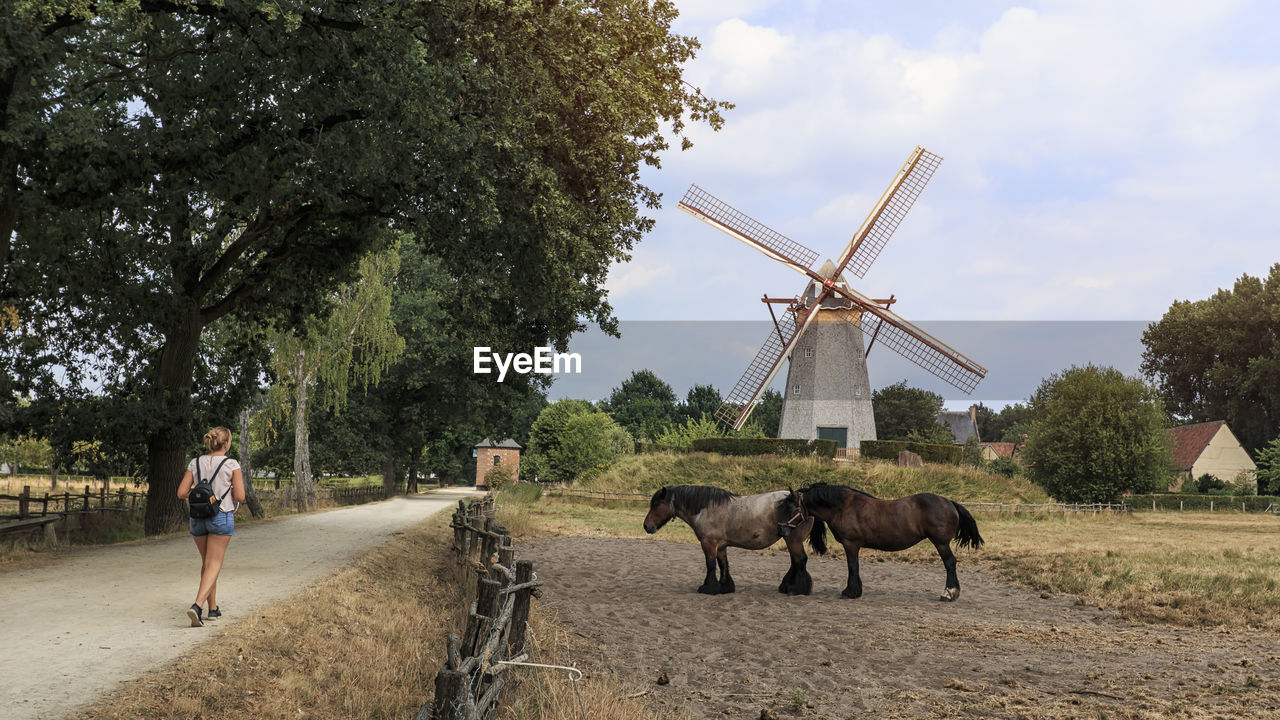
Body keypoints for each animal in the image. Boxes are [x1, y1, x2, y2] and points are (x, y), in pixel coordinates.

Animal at [773, 481, 983, 599]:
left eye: (790, 508)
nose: (781, 529)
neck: (843, 506)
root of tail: (950, 503)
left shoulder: (851, 544)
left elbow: (852, 567)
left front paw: (850, 592)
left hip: (941, 543)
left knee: (950, 563)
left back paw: (949, 593)